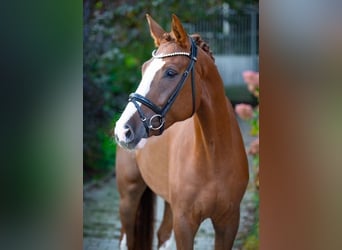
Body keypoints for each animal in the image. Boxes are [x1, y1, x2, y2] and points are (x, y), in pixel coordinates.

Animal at [115, 14, 248, 250]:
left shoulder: (229, 222)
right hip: (128, 196)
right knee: (125, 238)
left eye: (170, 72)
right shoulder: (185, 223)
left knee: (162, 235)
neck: (213, 156)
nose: (123, 130)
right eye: (143, 69)